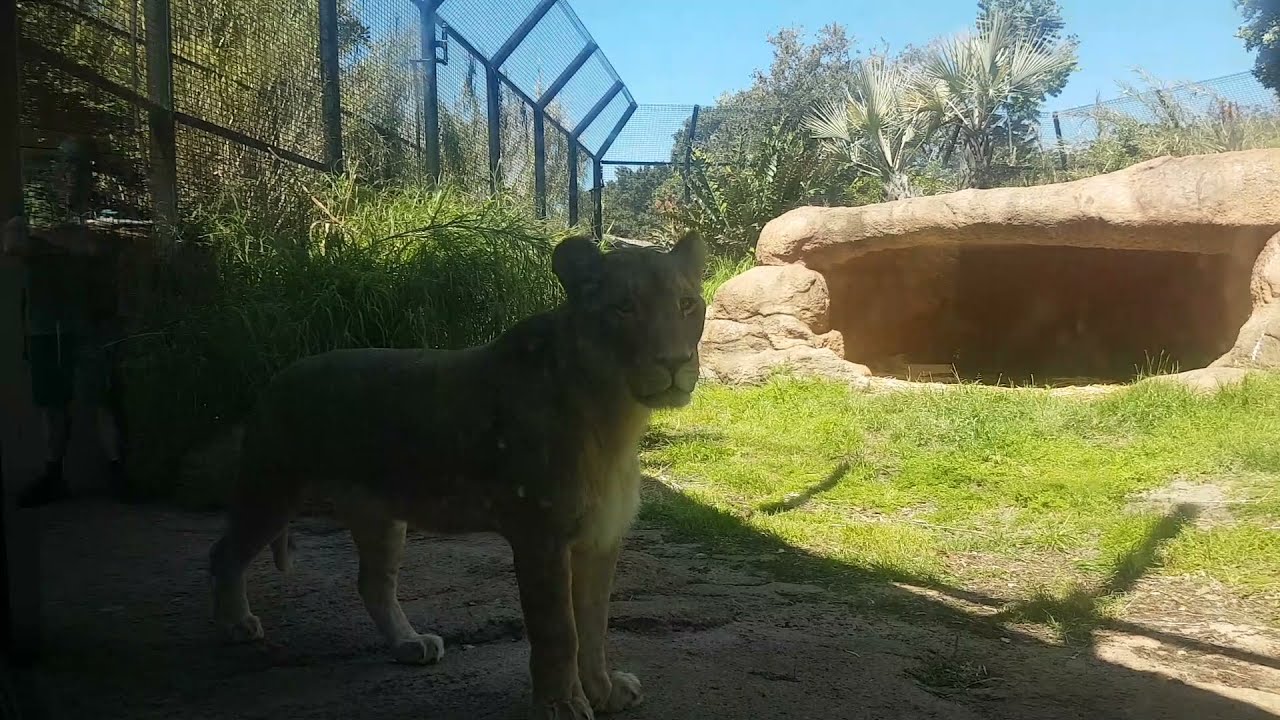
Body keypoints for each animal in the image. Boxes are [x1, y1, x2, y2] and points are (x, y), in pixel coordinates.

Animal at [209, 231, 708, 719]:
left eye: (687, 304)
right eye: (624, 308)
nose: (674, 362)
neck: (616, 415)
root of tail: (277, 377)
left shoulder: (601, 537)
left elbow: (594, 625)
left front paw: (604, 693)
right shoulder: (540, 534)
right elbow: (559, 630)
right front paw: (561, 705)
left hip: (378, 513)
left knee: (373, 583)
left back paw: (409, 645)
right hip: (272, 488)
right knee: (223, 553)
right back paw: (236, 624)